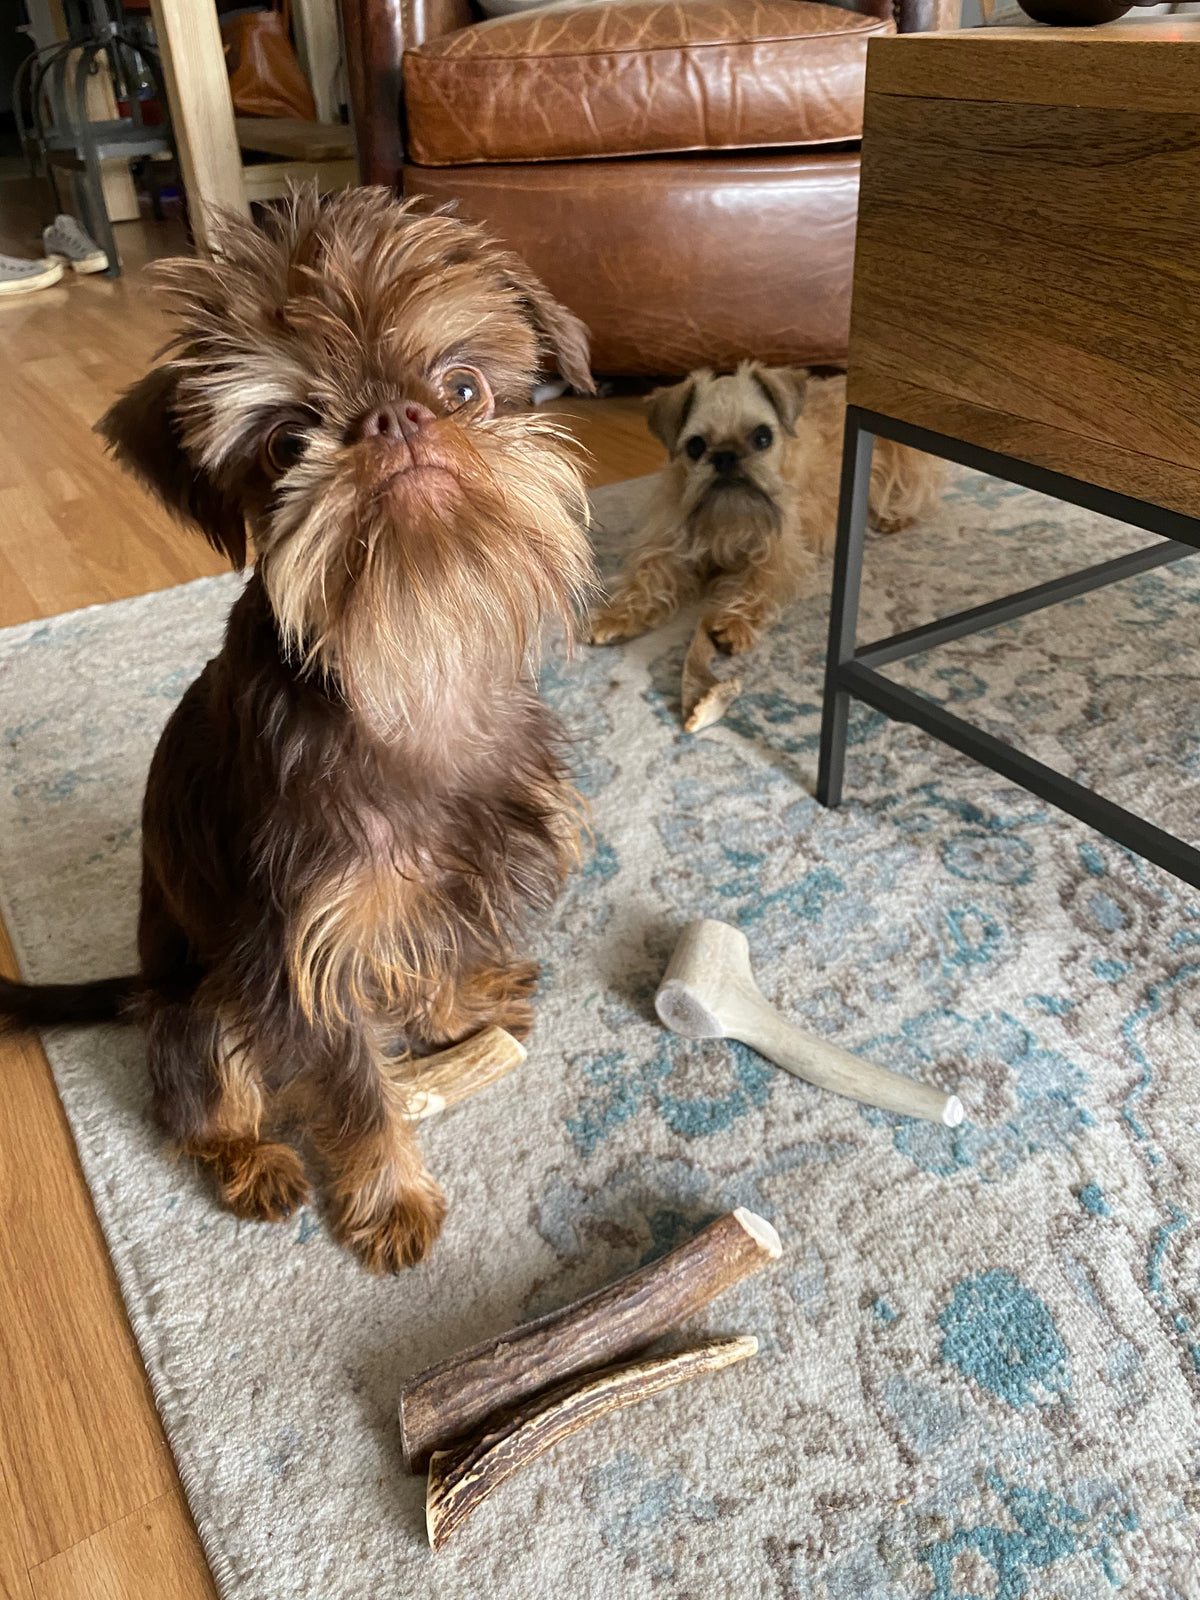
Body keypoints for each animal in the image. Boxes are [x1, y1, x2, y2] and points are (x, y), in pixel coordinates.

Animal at [0, 187, 598, 1267]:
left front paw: (455, 1011)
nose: (396, 419)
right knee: (200, 1102)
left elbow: (431, 954)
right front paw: (388, 1195)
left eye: (462, 388)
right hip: (199, 1006)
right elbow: (355, 1084)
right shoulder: (300, 955)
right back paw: (253, 1161)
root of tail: (141, 986)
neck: (401, 656)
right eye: (286, 441)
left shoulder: (442, 887)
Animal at [588, 364, 940, 656]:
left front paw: (735, 622)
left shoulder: (779, 553)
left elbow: (759, 583)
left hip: (903, 460)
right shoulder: (666, 546)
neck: (727, 517)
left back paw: (894, 517)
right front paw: (617, 615)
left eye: (762, 437)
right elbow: (646, 579)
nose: (726, 456)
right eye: (696, 446)